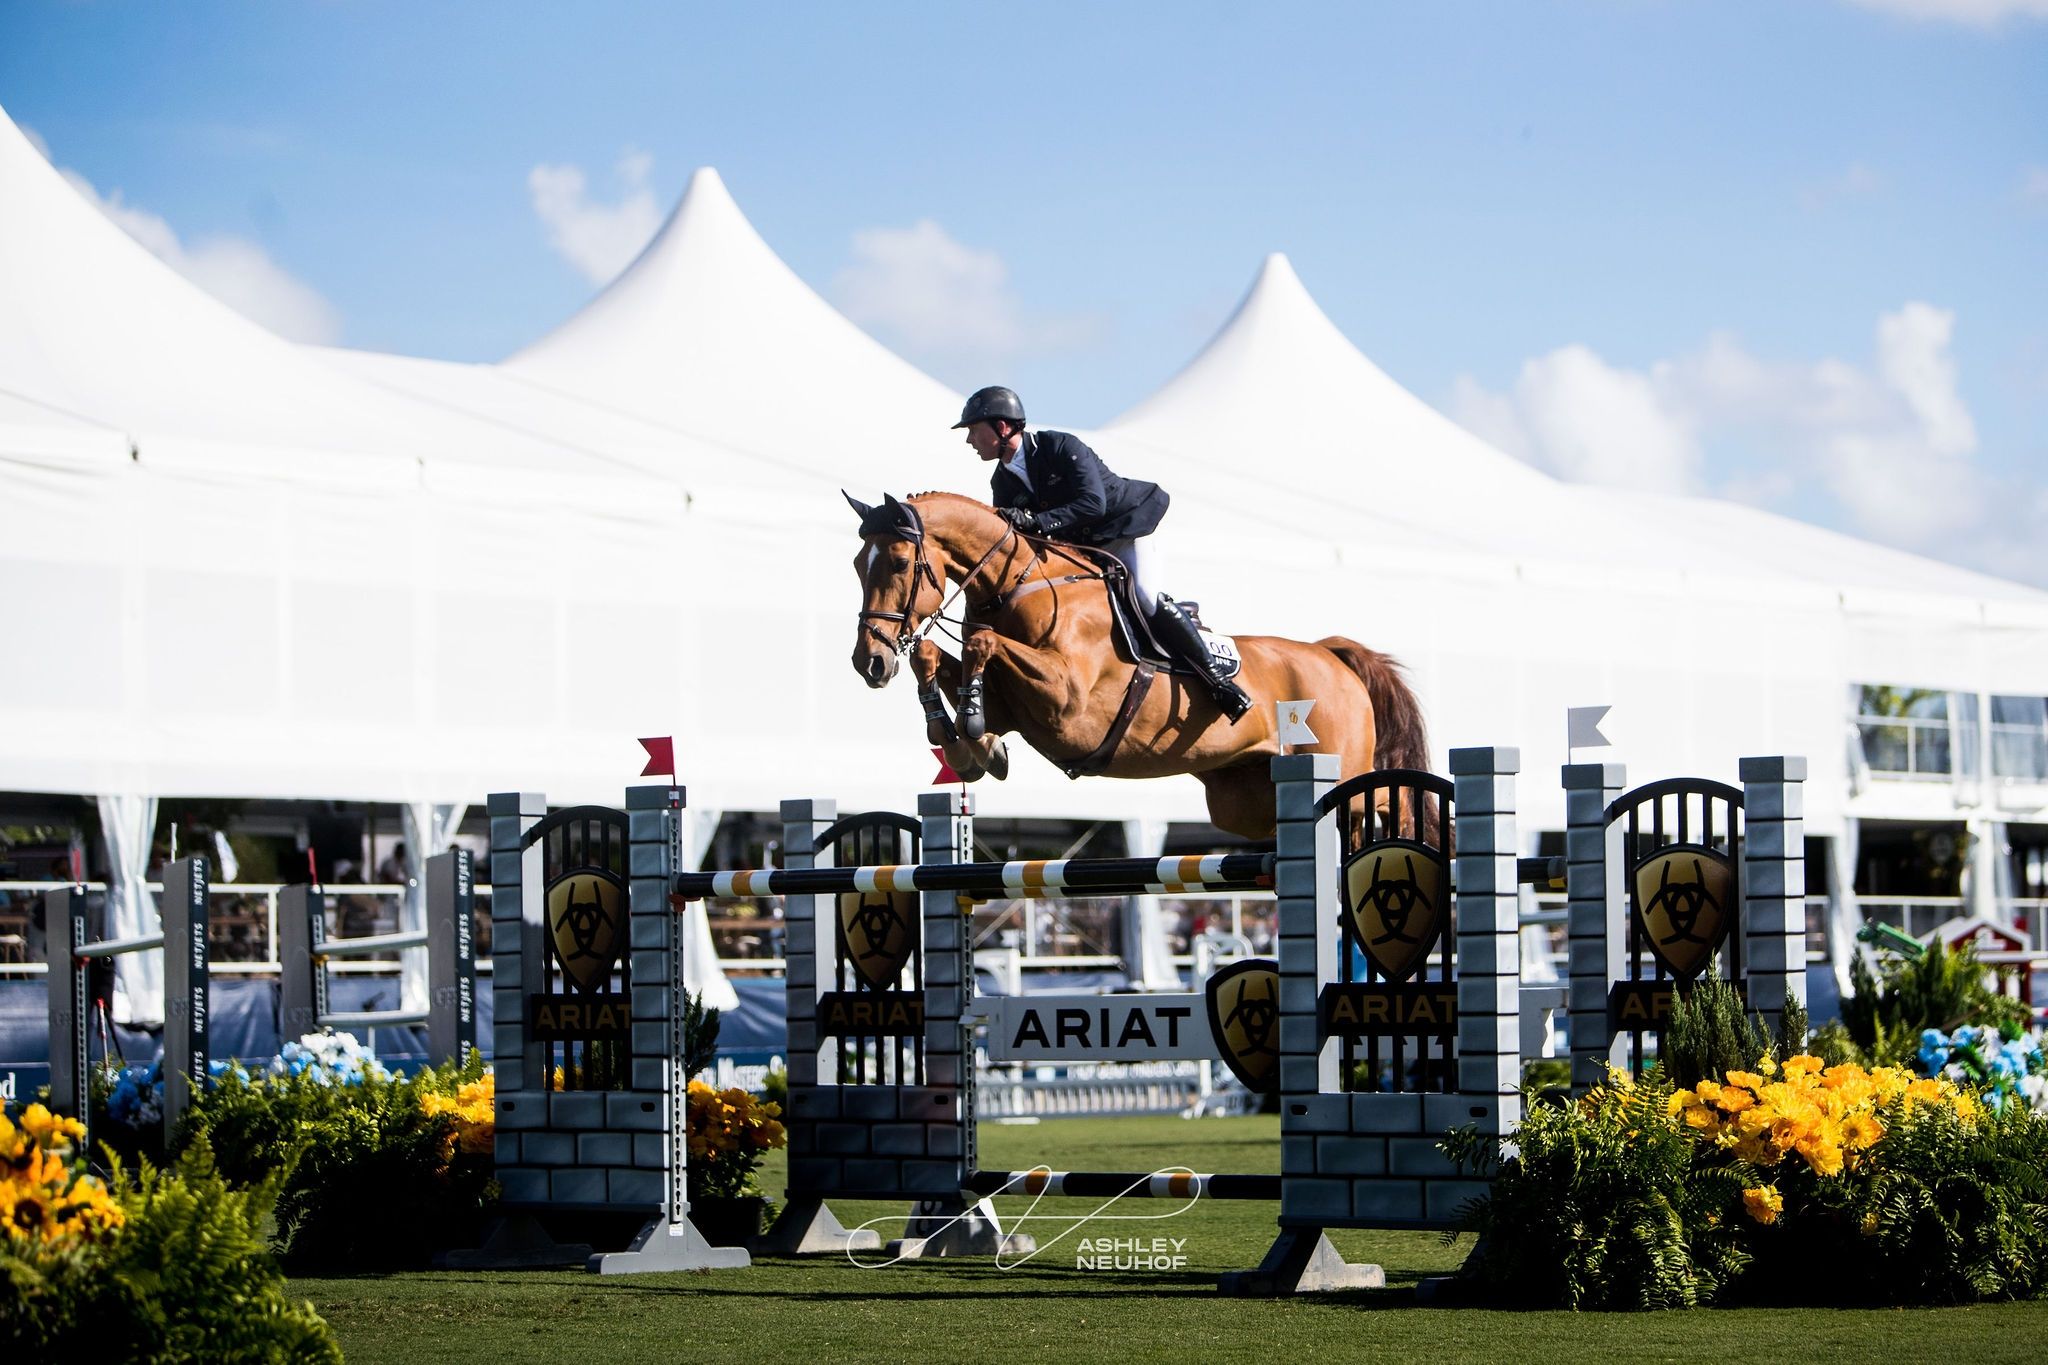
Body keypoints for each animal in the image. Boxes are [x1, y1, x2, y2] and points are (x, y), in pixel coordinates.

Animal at [843, 489, 1425, 834]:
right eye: (856, 564)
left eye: (898, 562)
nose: (868, 662)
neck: (1021, 582)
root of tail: (1332, 656)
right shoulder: (1018, 707)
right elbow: (936, 658)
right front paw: (969, 744)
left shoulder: (1067, 702)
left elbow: (982, 646)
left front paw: (970, 730)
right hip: (1247, 801)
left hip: (1339, 768)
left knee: (1383, 798)